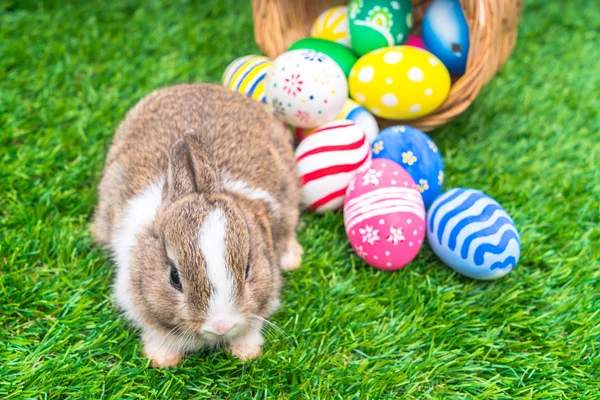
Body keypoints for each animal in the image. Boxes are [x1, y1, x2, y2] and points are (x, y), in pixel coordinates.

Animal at [91, 83, 302, 368]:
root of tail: (199, 85)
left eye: (247, 269)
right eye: (174, 278)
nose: (221, 326)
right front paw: (163, 360)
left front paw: (246, 352)